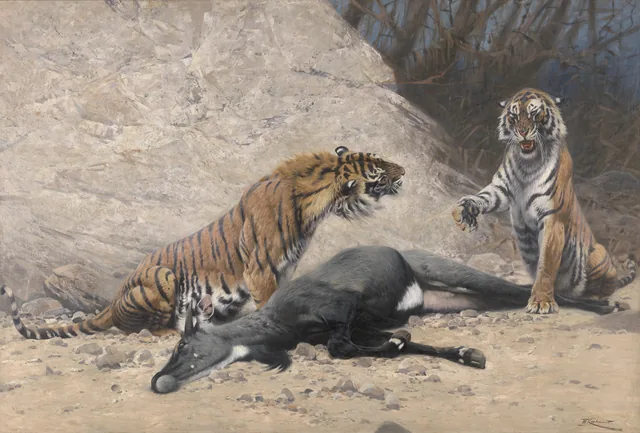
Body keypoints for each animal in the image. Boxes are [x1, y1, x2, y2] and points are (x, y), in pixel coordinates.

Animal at [1, 146, 406, 339]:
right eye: (379, 169)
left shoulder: (285, 269)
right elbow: (272, 303)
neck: (317, 204)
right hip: (162, 276)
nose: (405, 170)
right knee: (138, 326)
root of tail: (111, 301)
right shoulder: (261, 270)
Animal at [451, 87, 637, 314]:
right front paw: (463, 212)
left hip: (598, 255)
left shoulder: (552, 218)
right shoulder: (501, 189)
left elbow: (546, 265)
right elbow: (482, 197)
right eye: (513, 116)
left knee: (603, 288)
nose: (522, 132)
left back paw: (593, 298)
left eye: (534, 113)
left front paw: (541, 301)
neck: (527, 163)